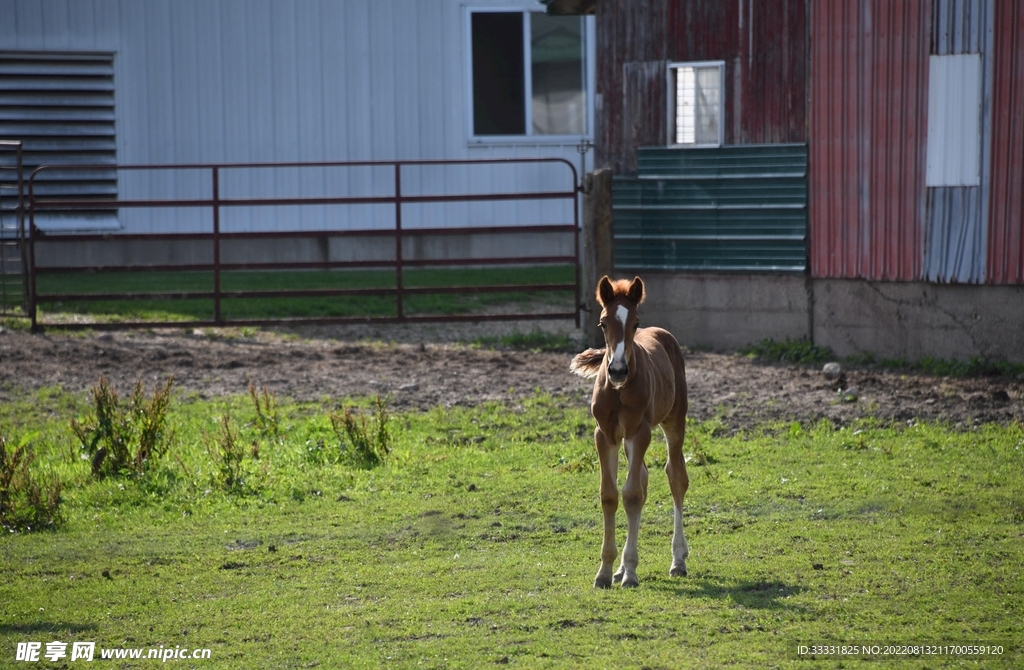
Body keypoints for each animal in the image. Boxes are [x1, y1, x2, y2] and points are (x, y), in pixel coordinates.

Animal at [570, 275, 690, 588]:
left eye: (635, 323)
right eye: (602, 323)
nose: (618, 370)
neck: (619, 390)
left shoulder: (640, 431)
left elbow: (632, 494)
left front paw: (631, 573)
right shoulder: (605, 435)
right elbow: (611, 495)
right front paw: (605, 572)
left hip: (674, 419)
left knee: (676, 476)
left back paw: (678, 560)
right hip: (625, 440)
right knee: (644, 478)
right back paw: (621, 569)